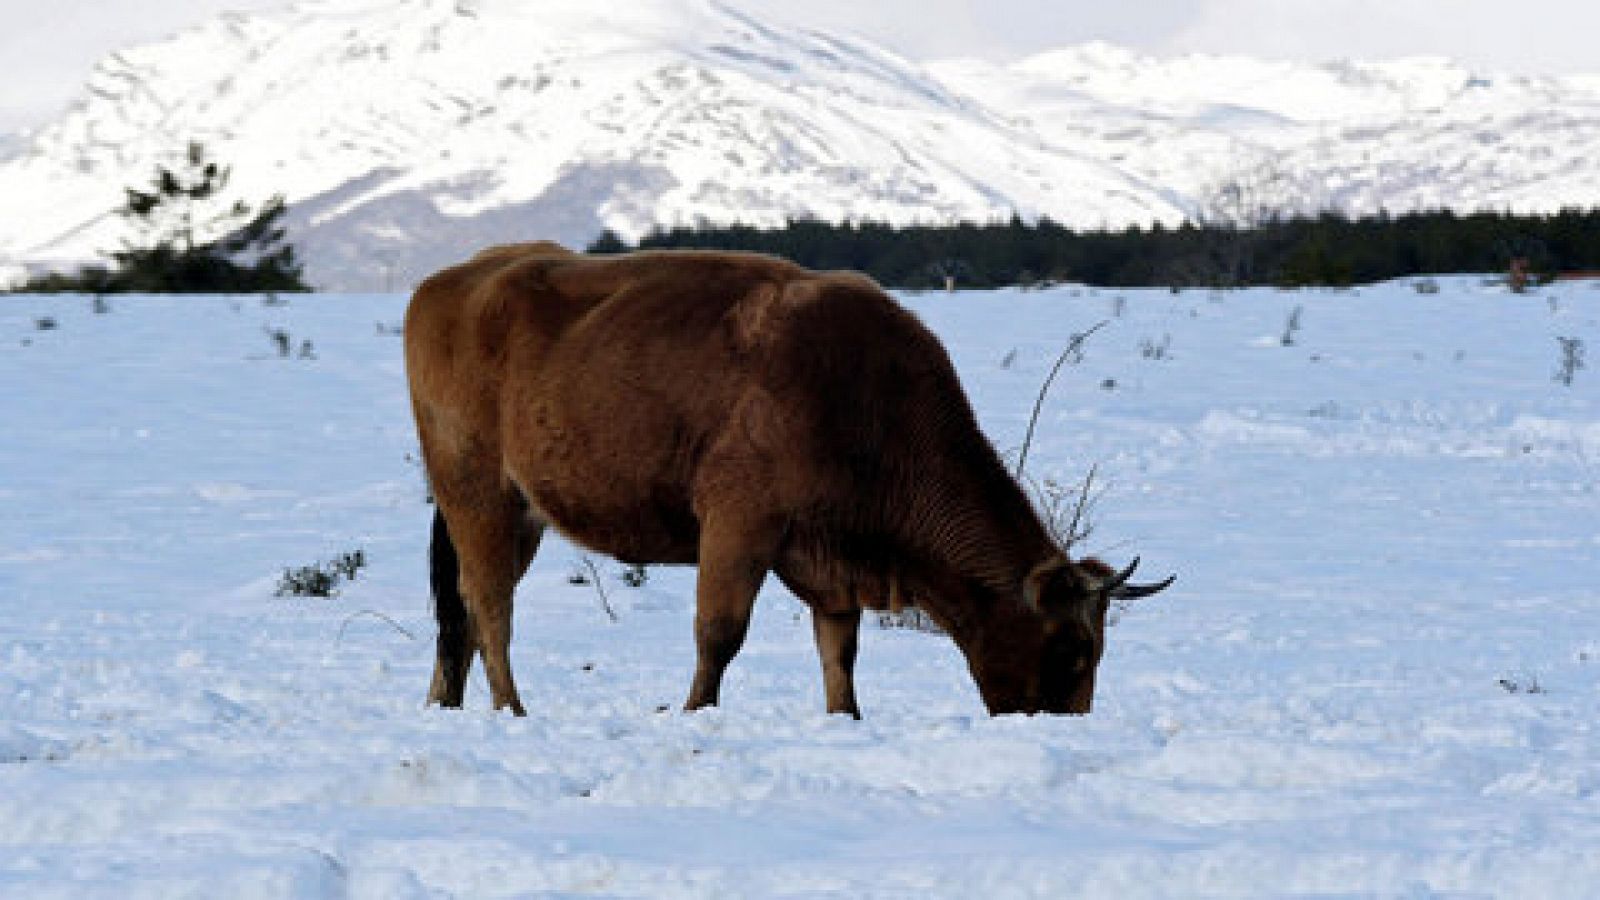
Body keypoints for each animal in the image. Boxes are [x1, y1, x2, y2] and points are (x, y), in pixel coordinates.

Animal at [406, 241, 1171, 717]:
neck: (870, 403)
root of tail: (450, 281)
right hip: (478, 495)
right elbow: (720, 632)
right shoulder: (739, 525)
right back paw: (513, 708)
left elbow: (840, 650)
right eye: (1073, 647)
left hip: (522, 513)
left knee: (466, 609)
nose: (1070, 722)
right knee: (489, 604)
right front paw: (697, 713)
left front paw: (846, 718)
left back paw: (449, 703)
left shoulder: (831, 563)